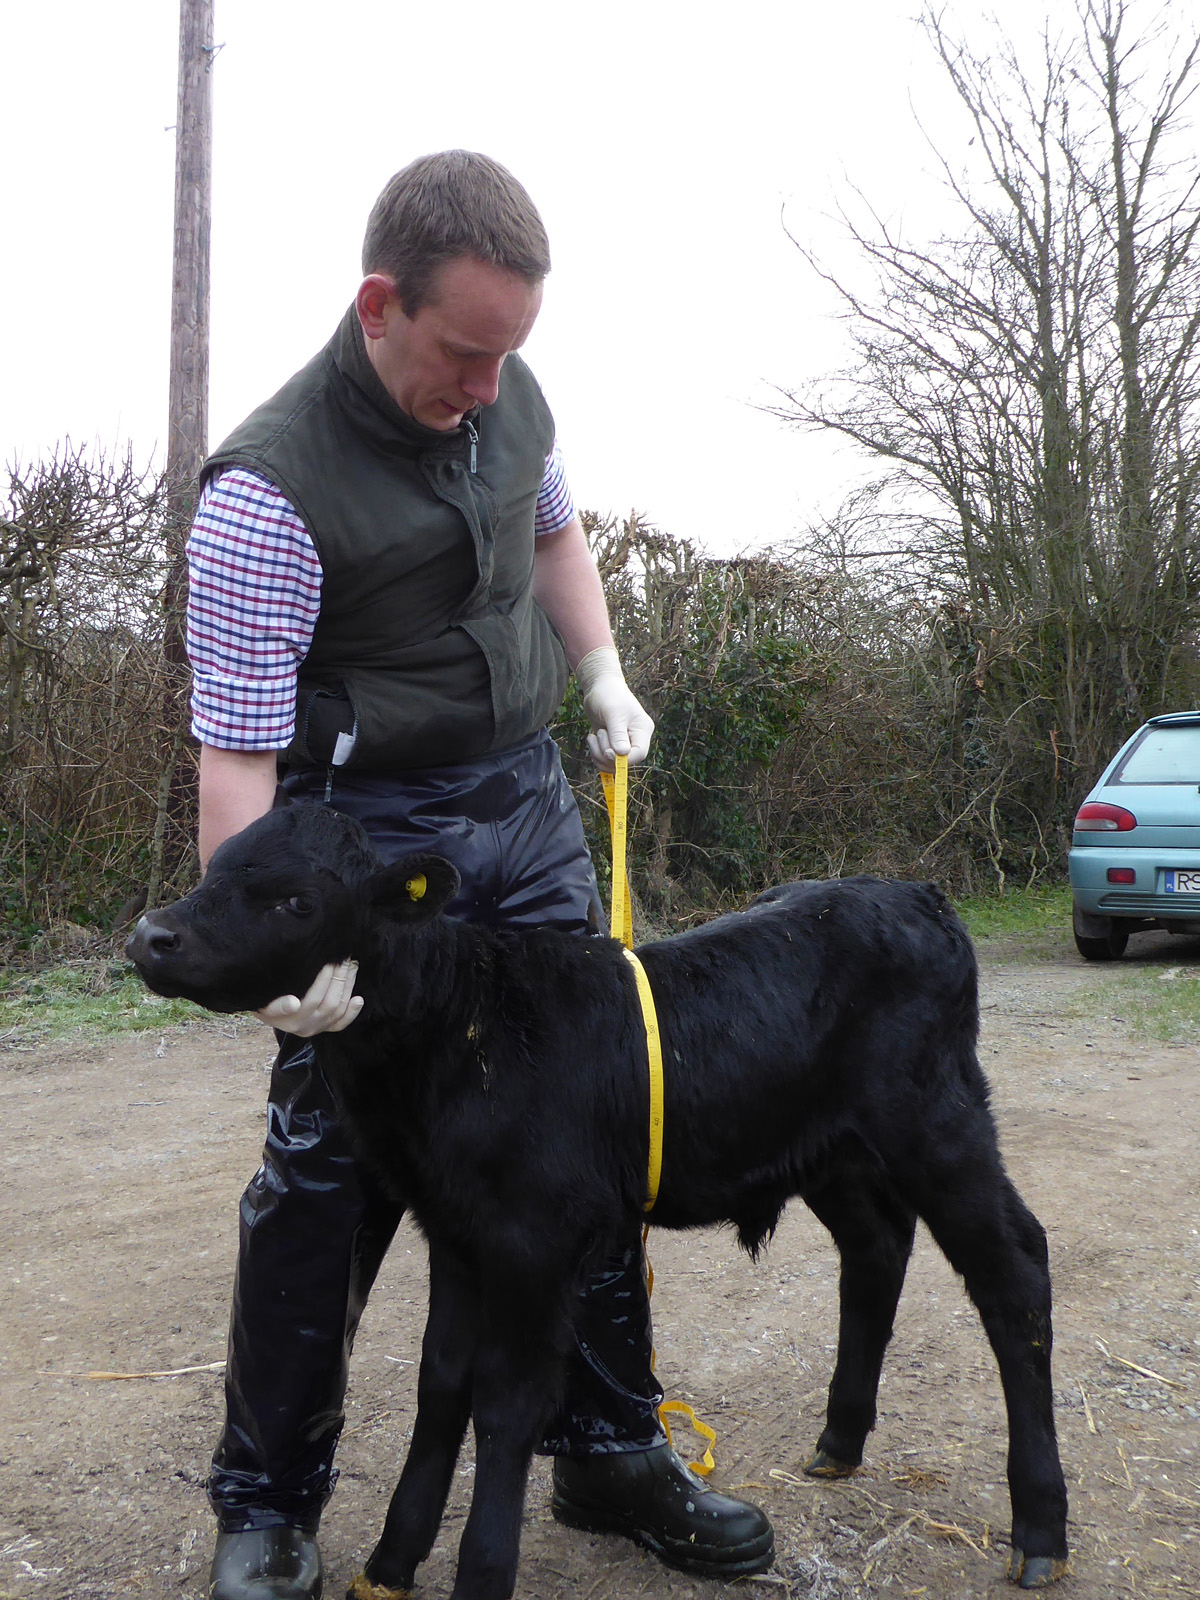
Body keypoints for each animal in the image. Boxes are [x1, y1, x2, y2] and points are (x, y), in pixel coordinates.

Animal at [131, 812, 1068, 1600]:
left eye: (295, 899)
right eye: (215, 866)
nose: (150, 934)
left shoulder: (533, 1241)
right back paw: (840, 1443)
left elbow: (505, 1405)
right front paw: (392, 1562)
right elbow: (441, 1386)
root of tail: (911, 893)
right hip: (831, 1152)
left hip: (939, 1126)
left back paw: (1041, 1529)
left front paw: (481, 1574)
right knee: (877, 1249)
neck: (462, 1028)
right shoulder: (456, 1234)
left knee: (1015, 1271)